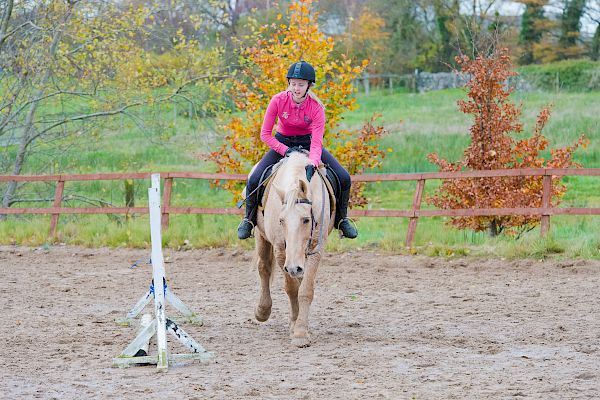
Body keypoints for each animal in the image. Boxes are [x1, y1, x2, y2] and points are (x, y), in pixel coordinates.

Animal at [251, 153, 336, 346]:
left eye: (306, 219)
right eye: (281, 220)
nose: (293, 267)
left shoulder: (314, 250)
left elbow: (305, 289)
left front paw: (300, 332)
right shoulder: (281, 252)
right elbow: (291, 288)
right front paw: (295, 327)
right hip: (261, 235)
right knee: (264, 268)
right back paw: (262, 311)